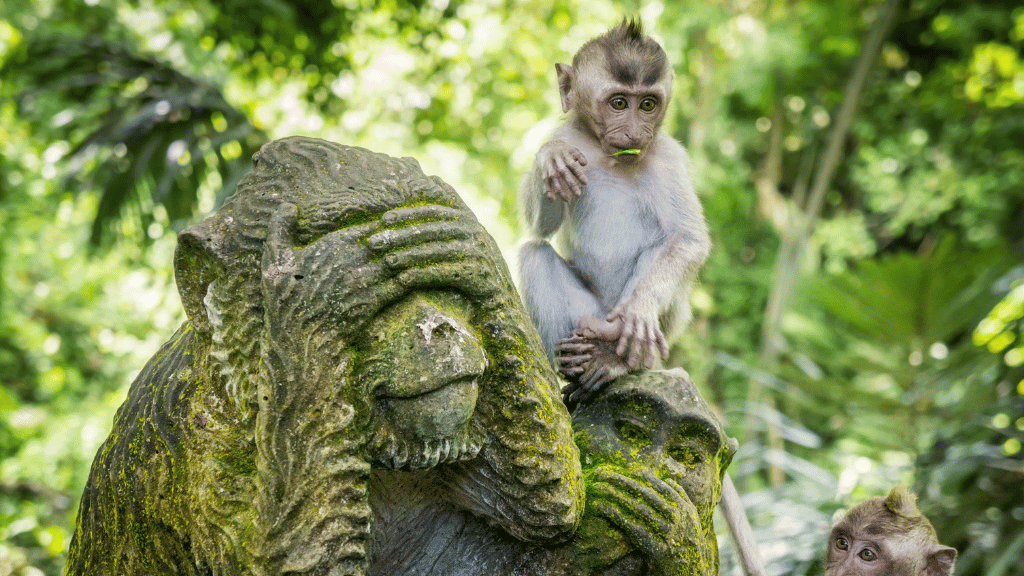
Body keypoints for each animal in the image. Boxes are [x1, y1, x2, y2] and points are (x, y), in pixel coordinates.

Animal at [517, 19, 711, 407]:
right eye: (619, 103)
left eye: (648, 104)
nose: (635, 131)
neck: (609, 156)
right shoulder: (568, 134)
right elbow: (540, 227)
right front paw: (550, 157)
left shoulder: (668, 159)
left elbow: (688, 239)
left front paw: (640, 310)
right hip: (585, 313)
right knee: (533, 253)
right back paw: (570, 364)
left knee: (662, 250)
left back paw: (617, 361)